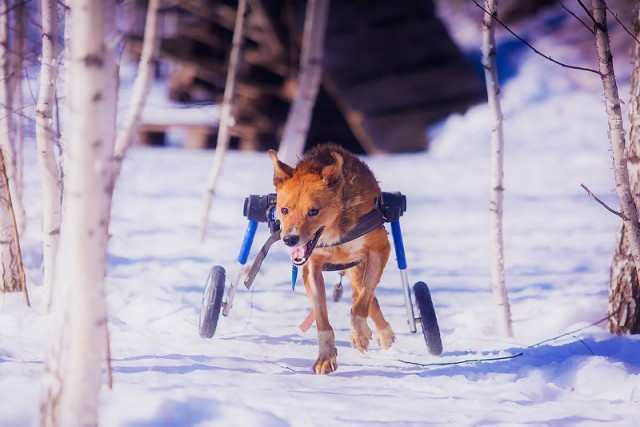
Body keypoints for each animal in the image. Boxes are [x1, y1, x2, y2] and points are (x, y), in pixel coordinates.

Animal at [266, 144, 396, 374]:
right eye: (284, 209)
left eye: (313, 211)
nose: (289, 239)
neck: (335, 230)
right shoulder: (311, 268)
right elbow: (322, 319)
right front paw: (326, 357)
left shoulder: (380, 249)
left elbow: (361, 304)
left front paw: (359, 334)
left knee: (366, 296)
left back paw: (382, 333)